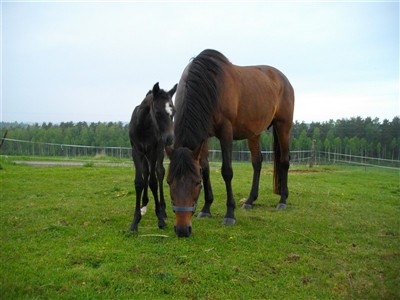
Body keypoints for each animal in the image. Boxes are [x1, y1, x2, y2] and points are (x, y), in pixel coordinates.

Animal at [130, 82, 177, 232]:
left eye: (173, 112)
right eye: (157, 113)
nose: (169, 138)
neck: (143, 125)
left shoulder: (153, 150)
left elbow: (154, 181)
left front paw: (160, 218)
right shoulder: (136, 151)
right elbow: (139, 181)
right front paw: (135, 220)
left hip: (159, 151)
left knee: (159, 172)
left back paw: (163, 209)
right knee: (146, 171)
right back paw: (144, 204)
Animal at [166, 49, 294, 237]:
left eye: (196, 183)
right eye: (169, 182)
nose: (182, 229)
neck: (209, 85)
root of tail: (283, 78)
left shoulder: (226, 131)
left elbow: (227, 171)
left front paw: (229, 214)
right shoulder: (205, 136)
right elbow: (205, 168)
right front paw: (206, 209)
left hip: (283, 126)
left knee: (284, 161)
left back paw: (283, 200)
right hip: (254, 133)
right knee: (257, 162)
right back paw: (250, 201)